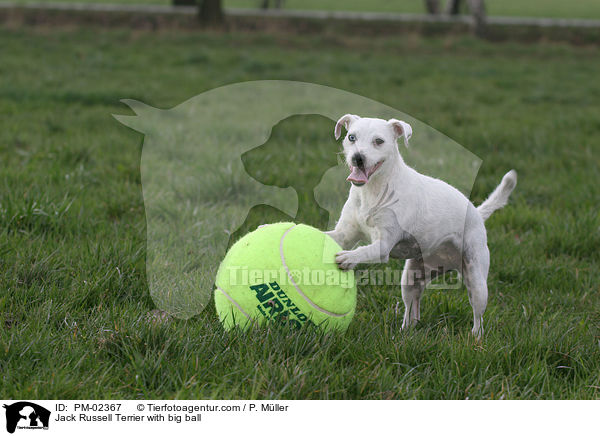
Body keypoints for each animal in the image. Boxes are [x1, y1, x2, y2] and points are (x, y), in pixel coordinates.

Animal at [326, 114, 516, 336]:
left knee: (478, 317)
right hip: (411, 279)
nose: (358, 158)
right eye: (351, 137)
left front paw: (349, 258)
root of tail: (477, 212)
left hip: (477, 284)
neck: (372, 191)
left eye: (379, 141)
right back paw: (405, 331)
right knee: (412, 309)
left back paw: (476, 337)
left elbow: (364, 250)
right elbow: (330, 235)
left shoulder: (383, 245)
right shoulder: (344, 234)